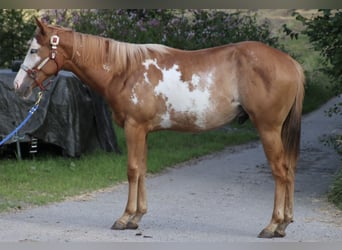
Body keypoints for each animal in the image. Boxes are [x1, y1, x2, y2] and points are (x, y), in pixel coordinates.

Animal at [13, 18, 304, 238]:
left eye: (32, 50)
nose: (18, 86)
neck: (124, 71)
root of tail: (291, 63)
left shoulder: (133, 128)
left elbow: (132, 171)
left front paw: (124, 218)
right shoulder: (143, 131)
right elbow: (142, 170)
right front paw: (136, 217)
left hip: (268, 129)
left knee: (280, 172)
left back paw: (272, 225)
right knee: (289, 170)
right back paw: (284, 224)